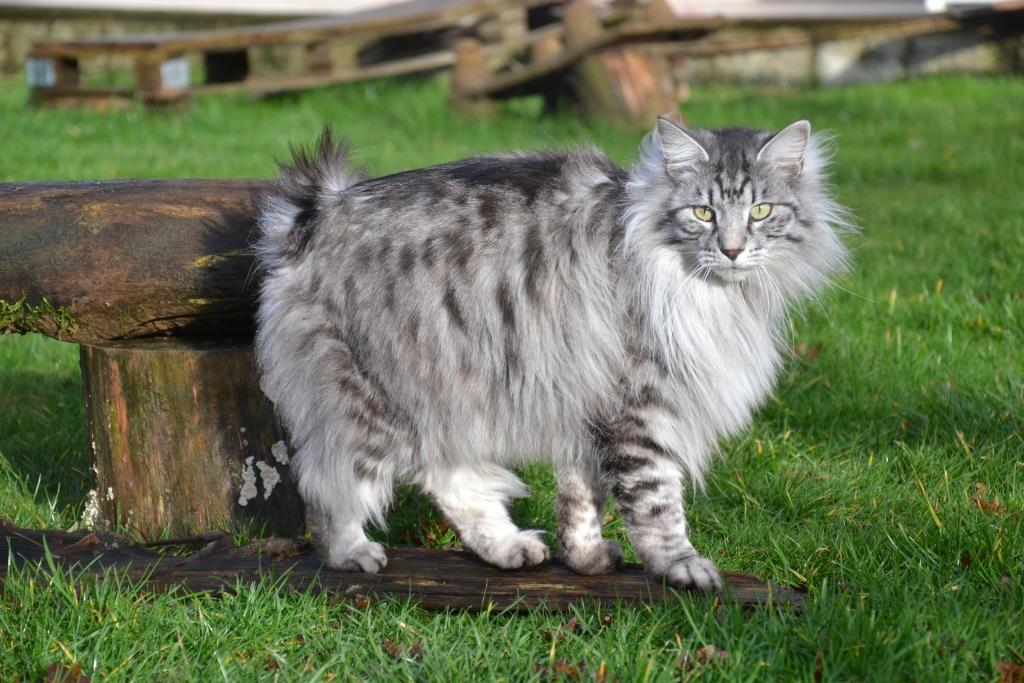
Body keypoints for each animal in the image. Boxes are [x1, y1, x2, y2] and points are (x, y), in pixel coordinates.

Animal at [253, 114, 847, 589]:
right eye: (702, 213)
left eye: (761, 210)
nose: (732, 249)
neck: (710, 295)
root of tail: (319, 208)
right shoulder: (640, 405)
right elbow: (657, 502)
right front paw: (680, 565)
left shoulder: (587, 401)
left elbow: (583, 497)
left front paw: (584, 558)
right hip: (373, 391)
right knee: (328, 482)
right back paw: (350, 552)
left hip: (449, 387)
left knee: (447, 475)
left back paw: (507, 547)